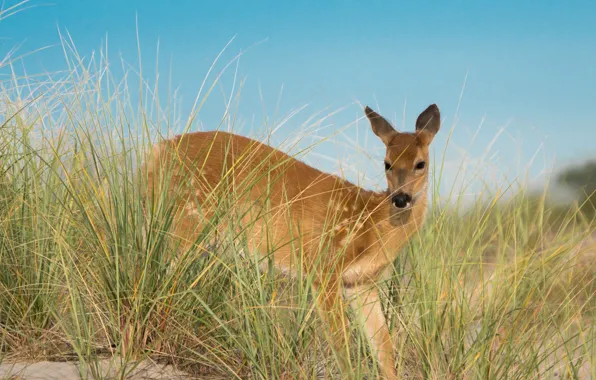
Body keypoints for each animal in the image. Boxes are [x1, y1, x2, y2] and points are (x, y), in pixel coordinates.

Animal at [144, 102, 440, 378]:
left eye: (420, 164)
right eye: (387, 163)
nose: (400, 199)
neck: (369, 224)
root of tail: (156, 152)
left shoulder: (361, 283)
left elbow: (384, 346)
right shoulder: (323, 268)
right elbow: (341, 343)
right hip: (186, 222)